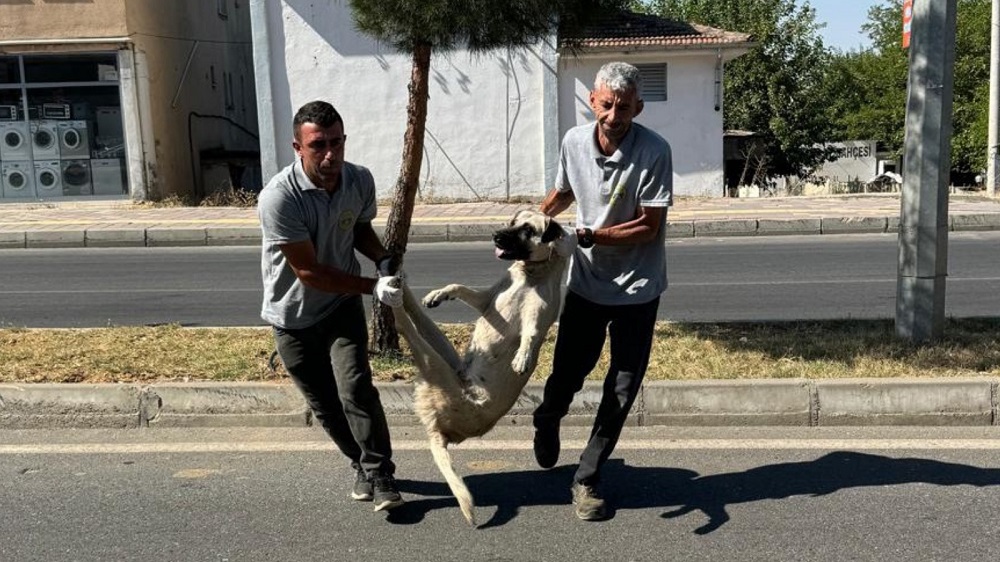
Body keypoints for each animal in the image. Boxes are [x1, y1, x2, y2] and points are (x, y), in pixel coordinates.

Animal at [390, 208, 572, 524]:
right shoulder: (486, 300)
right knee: (418, 320)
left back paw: (393, 298)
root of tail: (437, 429)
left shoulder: (538, 318)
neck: (529, 275)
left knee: (409, 328)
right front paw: (440, 293)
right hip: (445, 358)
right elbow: (461, 287)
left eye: (528, 229)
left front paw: (523, 357)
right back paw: (403, 287)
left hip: (437, 368)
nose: (496, 235)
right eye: (512, 222)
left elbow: (530, 335)